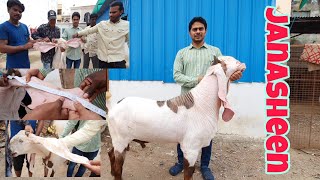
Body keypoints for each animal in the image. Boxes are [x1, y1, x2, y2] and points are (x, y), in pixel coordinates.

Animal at [107, 56, 245, 180]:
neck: (202, 103)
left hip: (119, 139)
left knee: (111, 154)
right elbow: (188, 174)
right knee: (118, 167)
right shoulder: (191, 148)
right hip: (121, 140)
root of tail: (115, 106)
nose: (241, 62)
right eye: (226, 61)